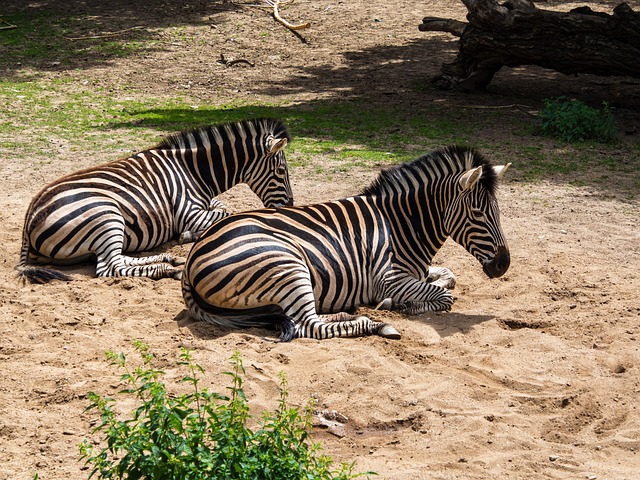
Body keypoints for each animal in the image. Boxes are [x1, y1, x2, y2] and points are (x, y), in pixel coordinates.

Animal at [16, 118, 292, 284]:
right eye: (281, 171)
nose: (289, 205)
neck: (194, 172)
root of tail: (30, 216)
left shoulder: (205, 204)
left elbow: (221, 205)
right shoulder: (190, 212)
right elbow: (228, 213)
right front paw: (189, 235)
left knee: (117, 258)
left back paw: (168, 259)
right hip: (106, 216)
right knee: (110, 267)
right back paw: (168, 269)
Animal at [180, 145, 510, 342]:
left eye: (498, 211)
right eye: (479, 213)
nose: (503, 265)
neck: (401, 224)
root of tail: (191, 258)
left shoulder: (415, 271)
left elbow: (447, 277)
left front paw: (405, 300)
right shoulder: (389, 278)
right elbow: (443, 296)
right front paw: (401, 304)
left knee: (306, 318)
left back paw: (349, 312)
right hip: (286, 265)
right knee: (307, 325)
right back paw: (376, 324)